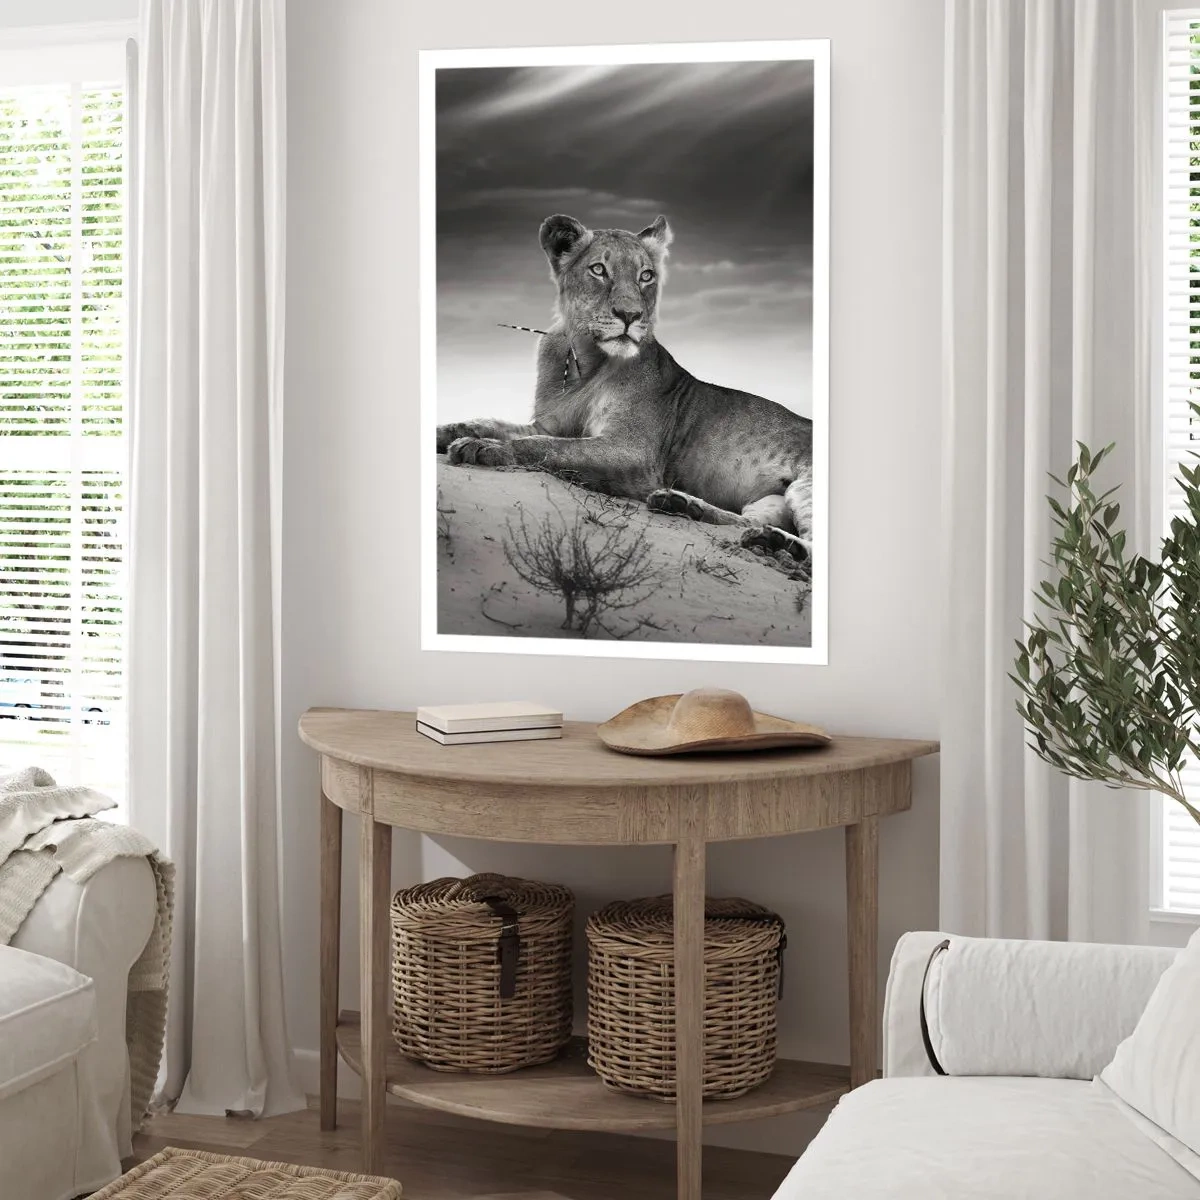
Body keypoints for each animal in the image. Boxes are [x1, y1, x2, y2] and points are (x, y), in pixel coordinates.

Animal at [436, 213, 813, 563]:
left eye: (646, 276)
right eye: (599, 270)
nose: (630, 315)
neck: (585, 362)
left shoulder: (633, 452)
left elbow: (544, 446)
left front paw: (483, 448)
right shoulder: (548, 423)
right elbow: (493, 424)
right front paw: (450, 431)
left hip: (806, 485)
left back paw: (777, 543)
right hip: (768, 501)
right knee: (747, 521)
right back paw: (684, 506)